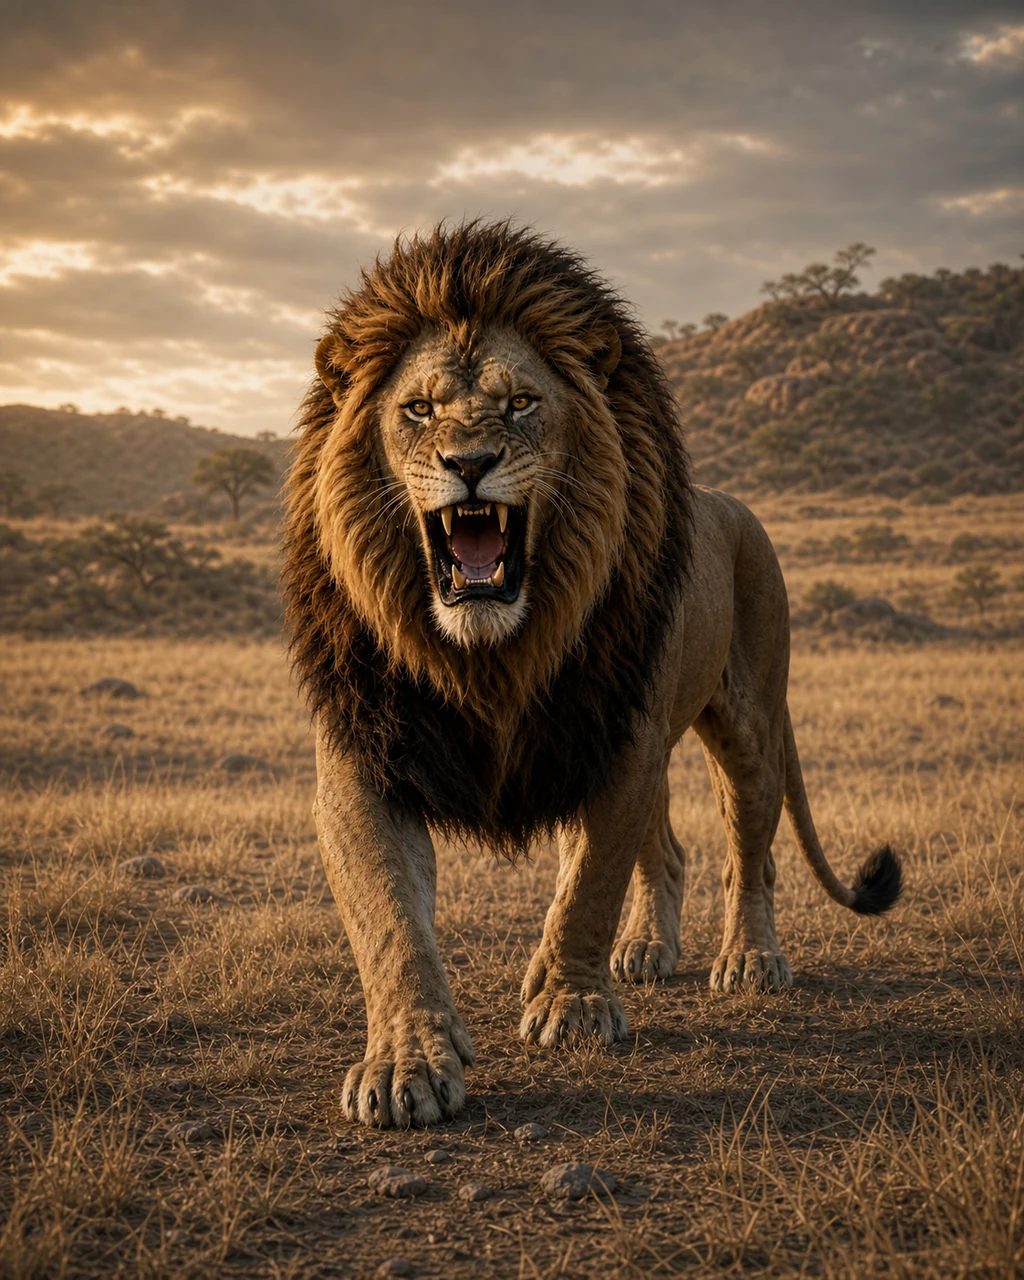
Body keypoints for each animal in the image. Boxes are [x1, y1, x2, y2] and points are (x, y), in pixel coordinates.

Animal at [283, 221, 902, 1129]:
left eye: (520, 404)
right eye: (419, 410)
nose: (470, 461)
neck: (488, 656)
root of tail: (732, 505)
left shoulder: (614, 741)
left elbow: (588, 886)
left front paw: (569, 1005)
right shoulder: (370, 751)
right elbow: (391, 918)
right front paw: (406, 1061)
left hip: (747, 728)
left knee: (749, 856)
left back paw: (749, 960)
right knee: (668, 853)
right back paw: (644, 950)